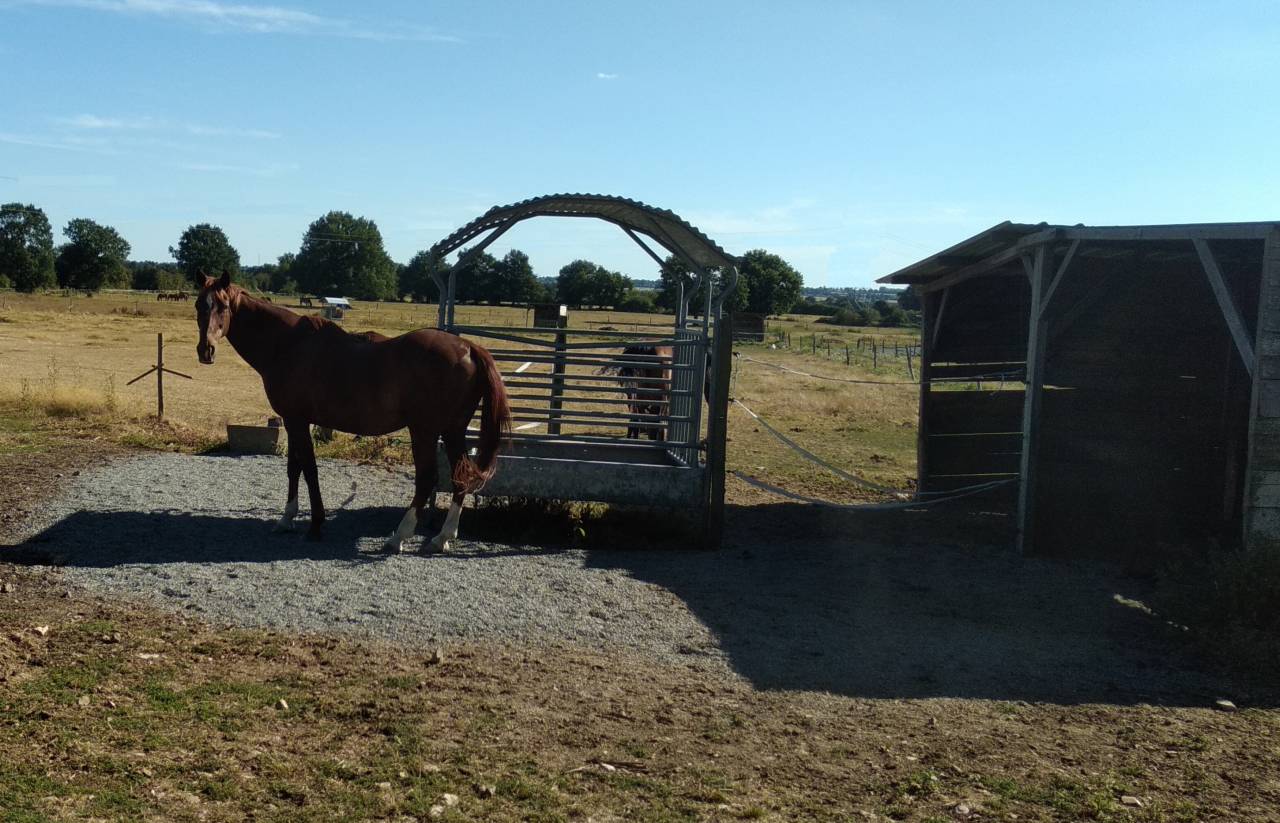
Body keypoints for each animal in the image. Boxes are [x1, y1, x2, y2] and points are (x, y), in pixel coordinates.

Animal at [195, 271, 511, 552]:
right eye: (199, 305)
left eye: (223, 306)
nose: (205, 351)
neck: (286, 345)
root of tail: (468, 347)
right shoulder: (295, 421)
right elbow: (293, 468)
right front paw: (286, 519)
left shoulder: (297, 421)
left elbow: (309, 469)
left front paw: (316, 525)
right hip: (453, 430)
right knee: (460, 476)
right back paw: (441, 538)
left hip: (425, 431)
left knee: (427, 479)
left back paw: (399, 537)